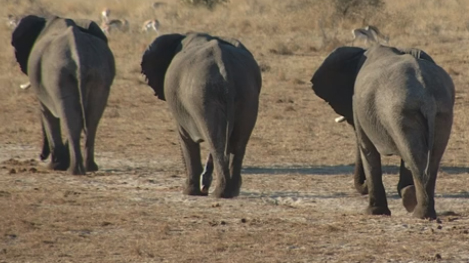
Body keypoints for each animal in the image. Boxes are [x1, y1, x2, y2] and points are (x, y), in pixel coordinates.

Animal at [11, 14, 115, 175]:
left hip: (58, 75)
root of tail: (79, 54)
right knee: (91, 118)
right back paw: (89, 167)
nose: (41, 156)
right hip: (100, 74)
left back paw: (73, 170)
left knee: (70, 117)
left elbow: (47, 113)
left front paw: (55, 166)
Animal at [141, 32, 262, 198]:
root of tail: (225, 68)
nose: (204, 186)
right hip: (247, 94)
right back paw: (230, 192)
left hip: (202, 97)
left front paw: (189, 192)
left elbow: (185, 139)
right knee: (236, 143)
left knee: (215, 141)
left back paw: (219, 193)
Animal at [310, 44, 454, 220]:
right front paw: (405, 195)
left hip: (400, 110)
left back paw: (419, 213)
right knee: (430, 158)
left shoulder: (356, 103)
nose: (363, 186)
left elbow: (367, 149)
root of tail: (426, 93)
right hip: (440, 111)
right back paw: (420, 209)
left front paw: (374, 212)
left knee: (416, 158)